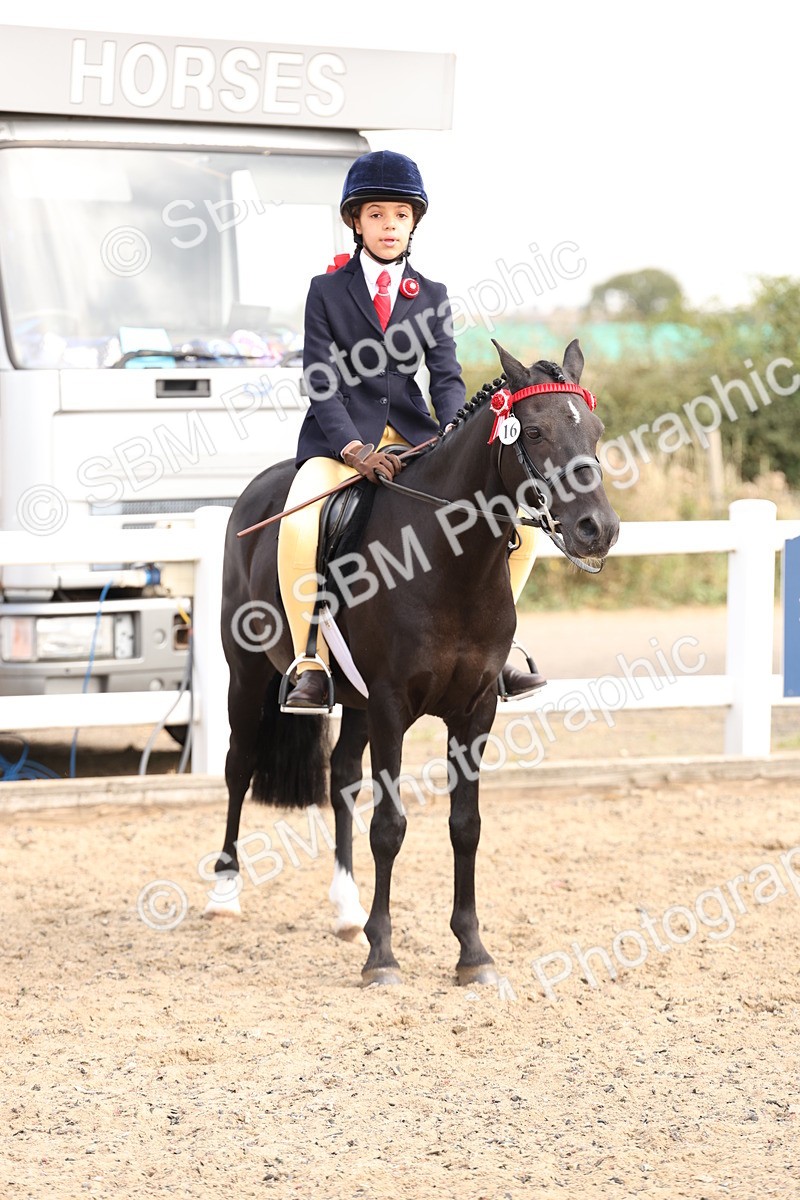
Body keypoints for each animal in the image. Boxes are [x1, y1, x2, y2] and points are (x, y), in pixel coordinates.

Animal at [205, 338, 620, 987]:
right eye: (534, 431)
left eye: (596, 431)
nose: (597, 530)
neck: (452, 564)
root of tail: (254, 490)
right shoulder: (392, 706)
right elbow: (390, 827)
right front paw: (382, 956)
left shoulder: (474, 710)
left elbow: (465, 827)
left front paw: (473, 953)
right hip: (248, 677)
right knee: (239, 766)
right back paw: (225, 895)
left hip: (351, 701)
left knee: (342, 777)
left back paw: (346, 911)